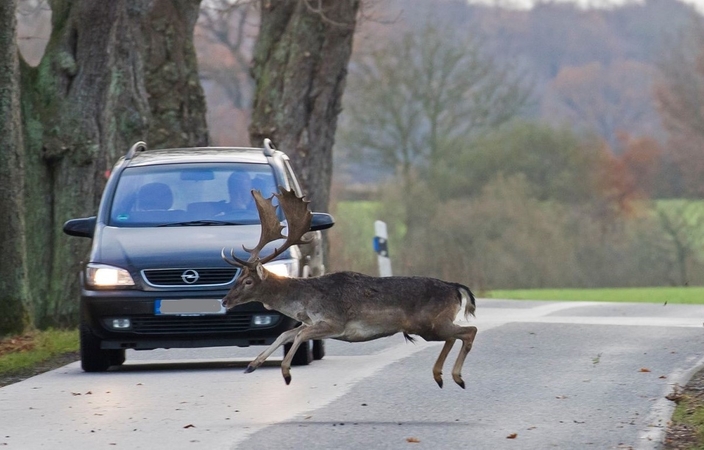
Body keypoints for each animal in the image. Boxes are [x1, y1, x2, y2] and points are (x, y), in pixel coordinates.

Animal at [221, 188, 478, 388]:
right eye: (240, 276)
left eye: (248, 281)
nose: (225, 300)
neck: (304, 301)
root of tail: (456, 288)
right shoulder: (312, 322)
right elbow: (286, 333)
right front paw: (252, 365)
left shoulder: (334, 322)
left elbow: (299, 335)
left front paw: (286, 372)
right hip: (432, 326)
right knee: (455, 336)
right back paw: (441, 376)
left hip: (430, 323)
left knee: (469, 331)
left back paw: (456, 377)